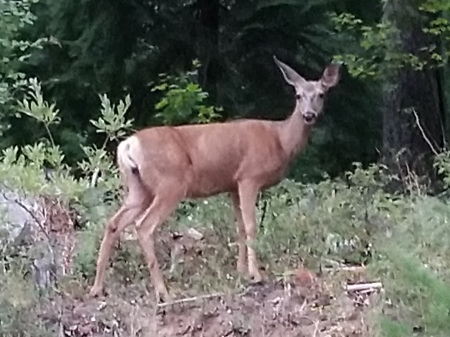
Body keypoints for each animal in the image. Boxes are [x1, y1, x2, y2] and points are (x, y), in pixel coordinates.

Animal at [89, 55, 342, 302]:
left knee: (113, 223)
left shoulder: (233, 184)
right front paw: (256, 274)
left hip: (138, 187)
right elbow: (251, 225)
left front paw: (242, 271)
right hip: (170, 183)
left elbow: (239, 226)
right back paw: (163, 292)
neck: (280, 140)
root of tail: (129, 144)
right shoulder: (250, 176)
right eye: (298, 96)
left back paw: (97, 288)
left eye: (321, 94)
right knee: (144, 226)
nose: (308, 115)